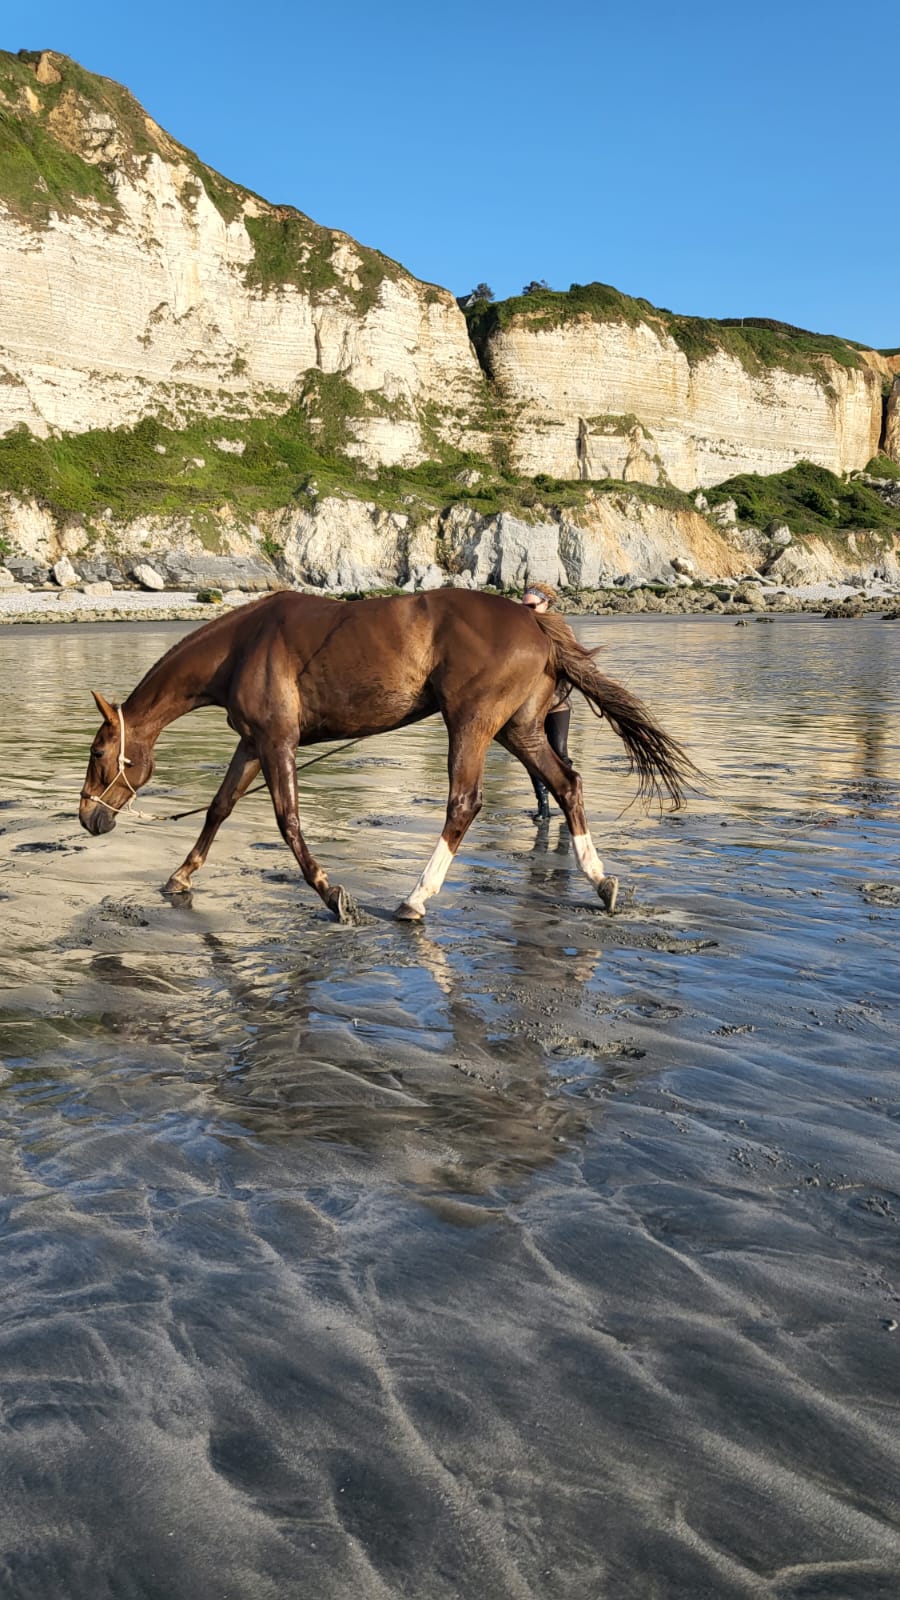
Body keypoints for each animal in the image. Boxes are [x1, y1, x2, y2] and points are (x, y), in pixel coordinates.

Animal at [79, 588, 695, 923]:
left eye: (99, 751)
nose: (87, 817)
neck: (242, 648)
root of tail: (534, 621)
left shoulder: (277, 743)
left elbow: (287, 821)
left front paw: (331, 894)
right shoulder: (253, 743)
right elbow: (219, 808)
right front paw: (181, 875)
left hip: (471, 724)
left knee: (464, 803)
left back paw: (416, 897)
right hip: (519, 730)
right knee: (566, 785)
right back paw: (600, 880)